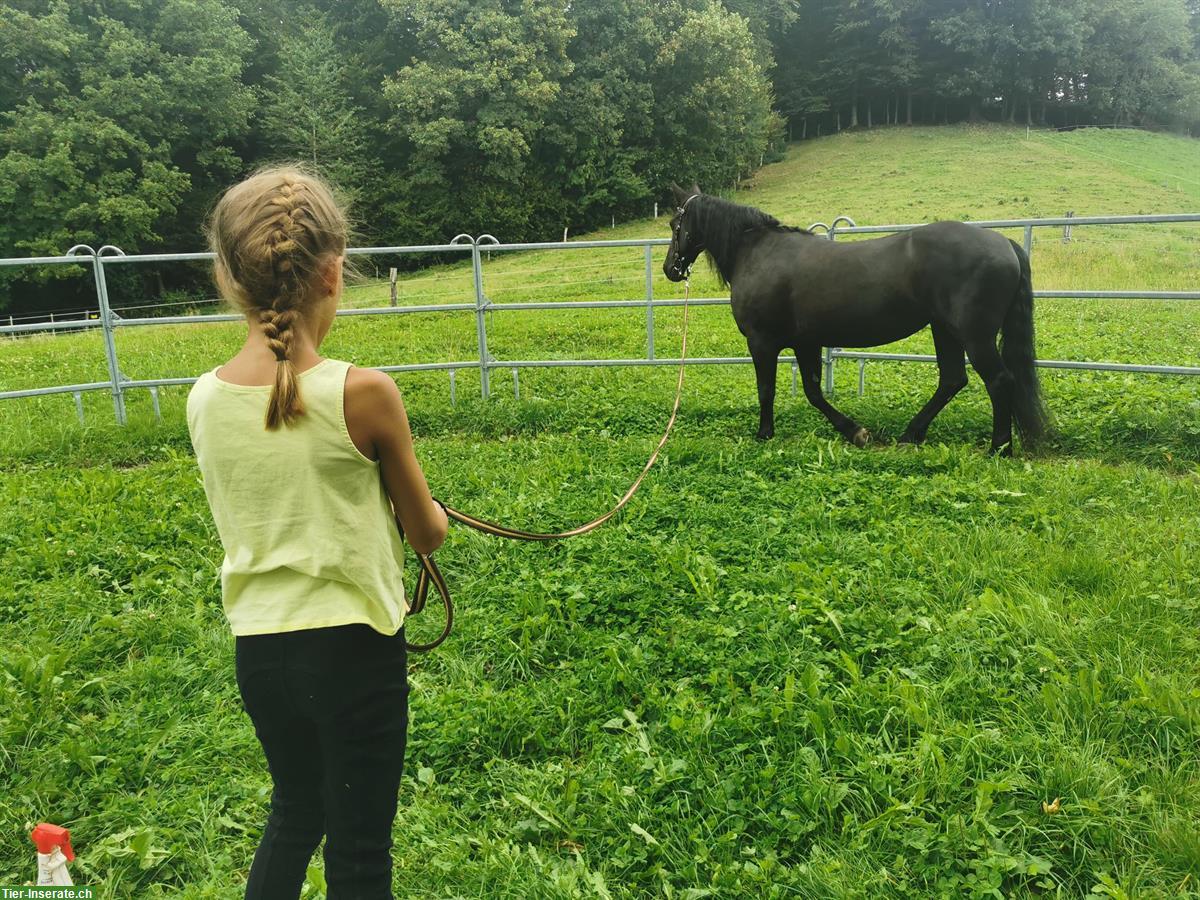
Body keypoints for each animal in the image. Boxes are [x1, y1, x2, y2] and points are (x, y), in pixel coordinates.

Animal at [662, 183, 1046, 453]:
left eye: (674, 223)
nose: (670, 269)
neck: (759, 252)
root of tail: (1004, 244)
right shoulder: (806, 342)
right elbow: (814, 392)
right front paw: (856, 432)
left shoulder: (762, 343)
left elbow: (766, 390)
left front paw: (764, 434)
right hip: (945, 330)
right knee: (952, 380)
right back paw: (911, 434)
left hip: (974, 336)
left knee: (999, 381)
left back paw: (999, 448)